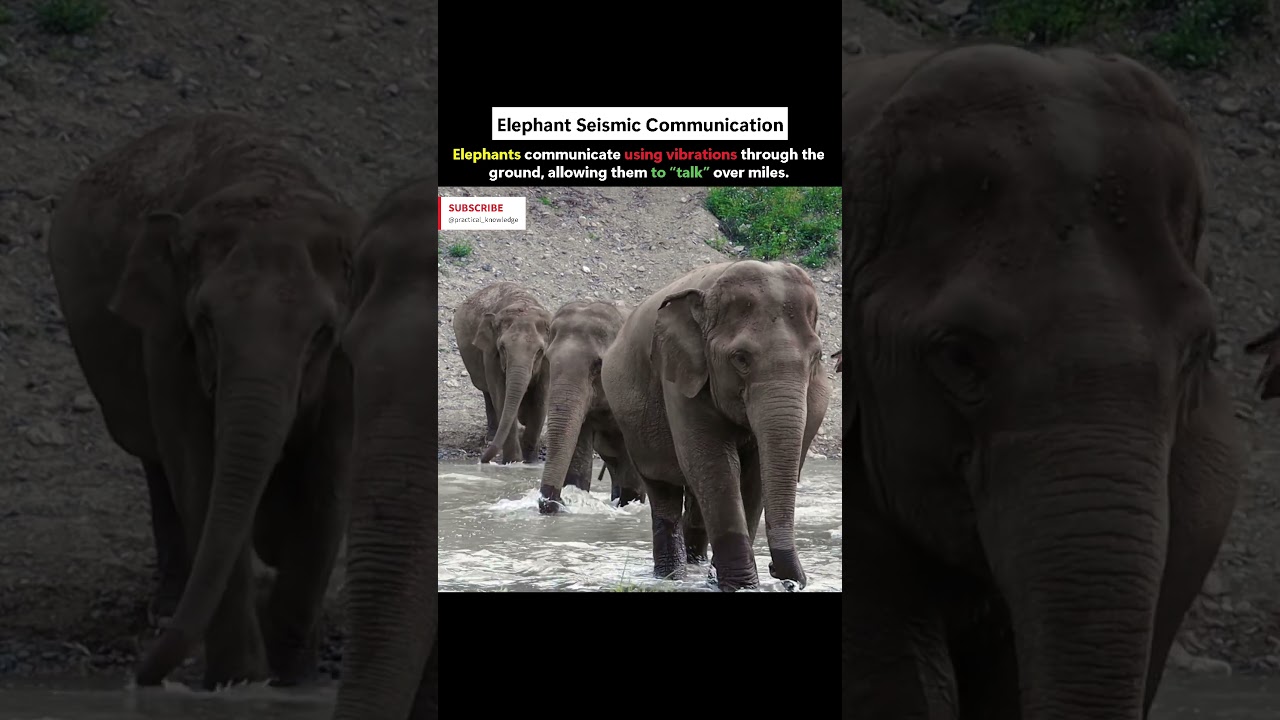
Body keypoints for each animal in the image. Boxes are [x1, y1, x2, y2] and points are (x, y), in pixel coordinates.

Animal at [46, 112, 360, 690]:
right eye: (206, 322)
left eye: (322, 333)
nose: (140, 679)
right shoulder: (168, 339)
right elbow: (199, 469)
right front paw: (241, 681)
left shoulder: (350, 357)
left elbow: (328, 482)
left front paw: (294, 679)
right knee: (156, 463)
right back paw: (167, 609)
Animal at [453, 282, 551, 464]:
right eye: (503, 347)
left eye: (539, 351)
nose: (482, 461)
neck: (522, 301)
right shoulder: (491, 354)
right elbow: (501, 395)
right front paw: (514, 462)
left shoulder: (548, 360)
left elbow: (540, 401)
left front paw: (531, 463)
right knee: (488, 393)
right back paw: (491, 437)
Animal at [601, 260, 831, 592]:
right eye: (741, 358)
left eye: (817, 357)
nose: (779, 573)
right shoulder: (682, 377)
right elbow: (716, 464)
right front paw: (741, 586)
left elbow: (754, 473)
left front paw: (727, 582)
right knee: (663, 493)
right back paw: (671, 576)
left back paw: (696, 568)